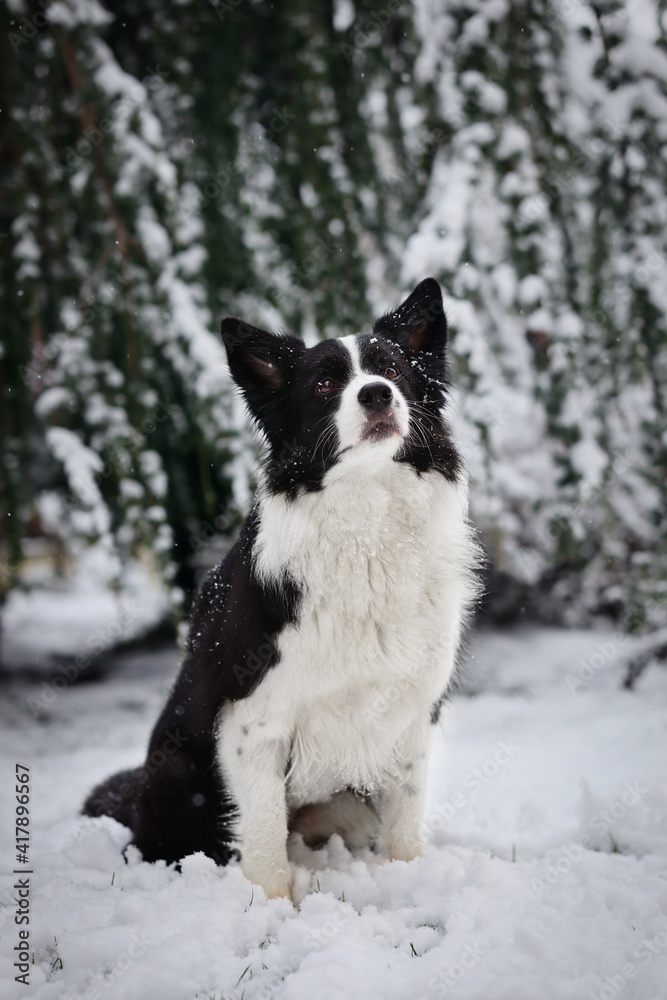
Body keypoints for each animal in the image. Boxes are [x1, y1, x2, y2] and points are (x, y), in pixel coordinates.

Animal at [85, 278, 480, 904]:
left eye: (392, 369)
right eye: (323, 384)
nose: (376, 395)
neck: (366, 522)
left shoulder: (413, 708)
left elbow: (406, 815)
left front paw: (411, 881)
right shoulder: (253, 719)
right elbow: (266, 833)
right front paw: (272, 908)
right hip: (180, 773)